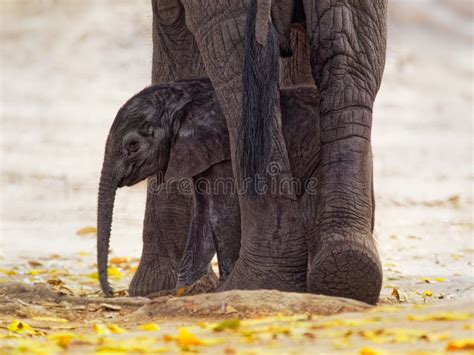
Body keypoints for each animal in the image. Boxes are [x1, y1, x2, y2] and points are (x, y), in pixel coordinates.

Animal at [96, 78, 320, 298]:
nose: (112, 292)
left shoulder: (226, 154)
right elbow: (202, 215)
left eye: (133, 145)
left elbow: (222, 213)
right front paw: (184, 290)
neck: (186, 99)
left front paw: (225, 288)